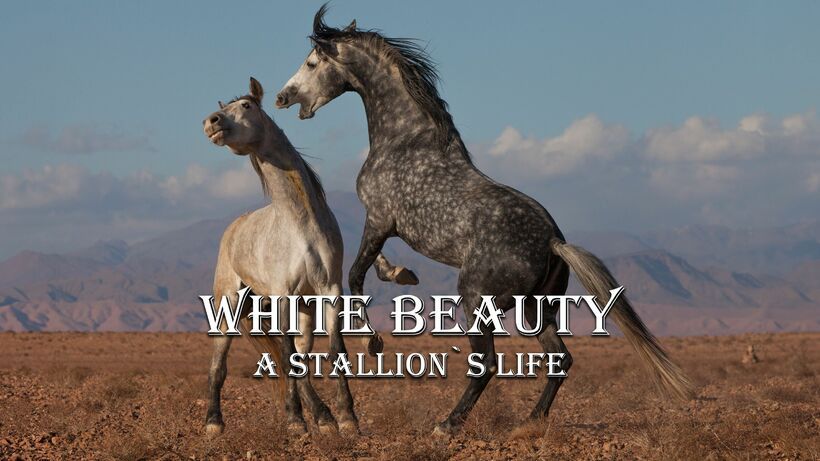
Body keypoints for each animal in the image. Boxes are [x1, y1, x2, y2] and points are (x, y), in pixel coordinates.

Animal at [201, 77, 418, 437]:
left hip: (303, 310)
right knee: (220, 363)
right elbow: (287, 355)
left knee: (299, 358)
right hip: (228, 305)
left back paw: (322, 415)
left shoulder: (328, 290)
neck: (300, 226)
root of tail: (233, 230)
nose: (211, 122)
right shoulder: (282, 295)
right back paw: (214, 423)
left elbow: (333, 350)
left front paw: (346, 418)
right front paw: (295, 420)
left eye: (246, 106)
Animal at [274, 7, 694, 436]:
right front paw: (402, 275)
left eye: (312, 63)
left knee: (488, 363)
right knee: (559, 358)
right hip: (536, 309)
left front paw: (372, 340)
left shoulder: (379, 219)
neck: (406, 139)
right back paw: (529, 423)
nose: (283, 97)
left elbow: (357, 275)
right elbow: (372, 267)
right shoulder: (383, 225)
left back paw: (448, 424)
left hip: (476, 300)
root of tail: (553, 242)